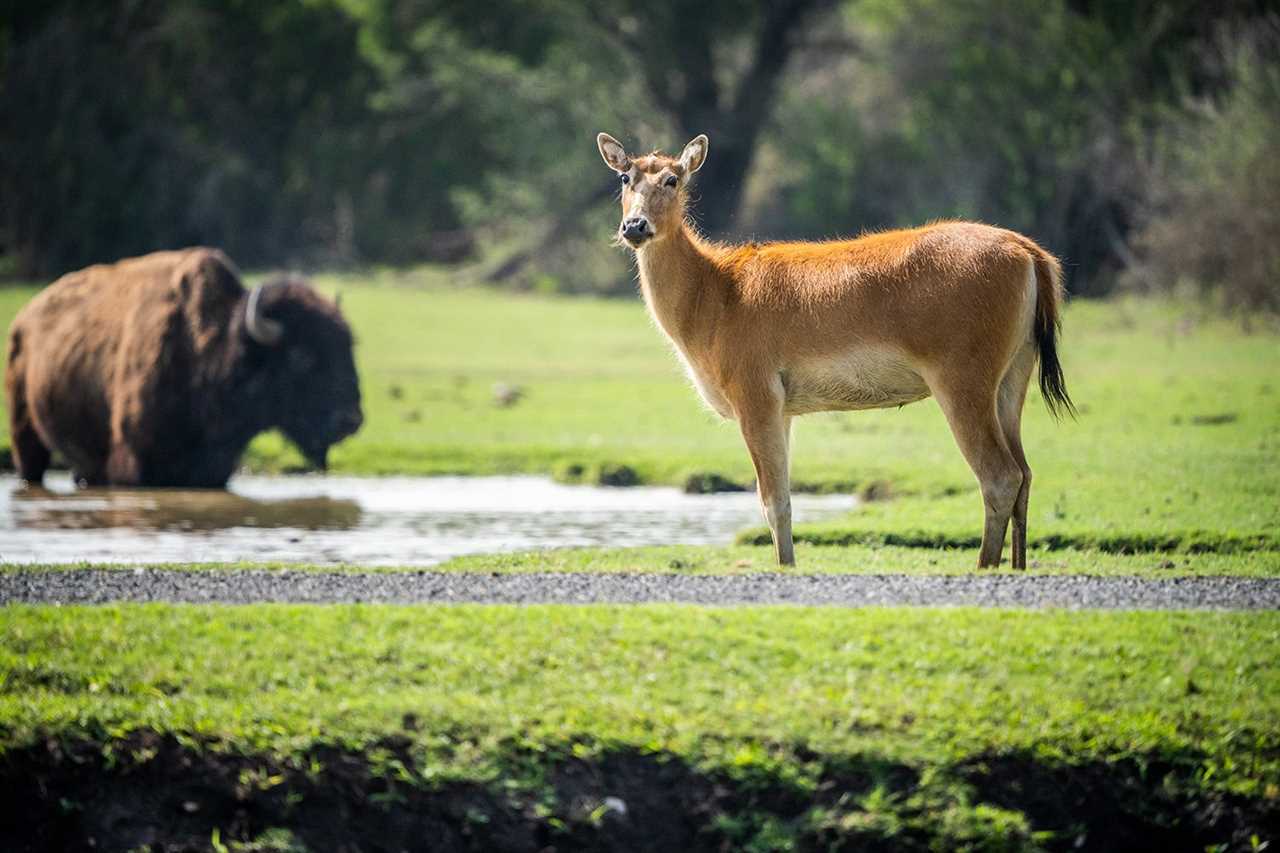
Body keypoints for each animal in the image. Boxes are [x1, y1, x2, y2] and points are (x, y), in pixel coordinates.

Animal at [7, 245, 363, 484]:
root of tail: (24, 318)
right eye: (301, 357)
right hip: (26, 434)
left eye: (348, 347)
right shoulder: (133, 465)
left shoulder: (214, 472)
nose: (350, 420)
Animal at [593, 131, 1075, 563]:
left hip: (963, 374)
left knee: (999, 476)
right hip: (1014, 372)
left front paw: (785, 567)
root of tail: (1032, 256)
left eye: (673, 178)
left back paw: (984, 565)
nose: (634, 226)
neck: (713, 301)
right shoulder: (783, 406)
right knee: (1025, 472)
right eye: (625, 177)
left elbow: (774, 503)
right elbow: (783, 501)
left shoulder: (755, 391)